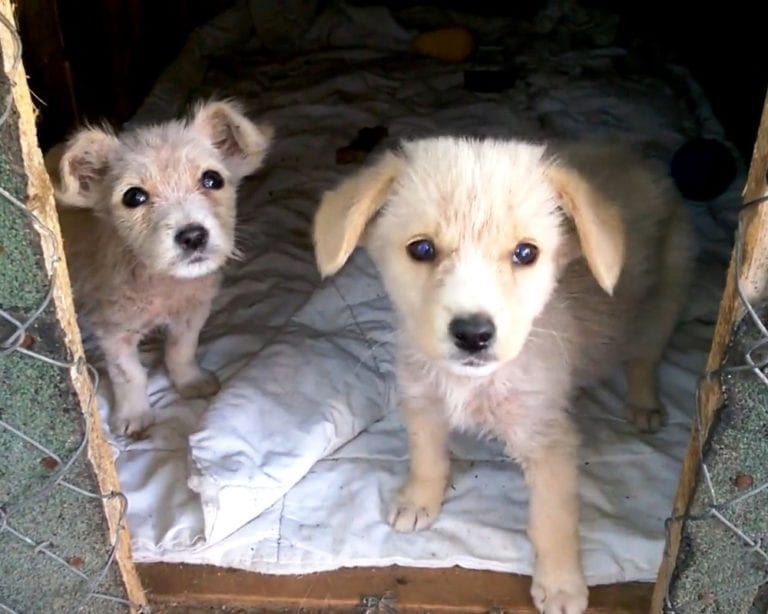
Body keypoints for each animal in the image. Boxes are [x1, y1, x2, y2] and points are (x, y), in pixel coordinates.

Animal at [47, 100, 272, 438]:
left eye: (212, 180)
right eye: (134, 197)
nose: (193, 236)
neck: (162, 283)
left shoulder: (192, 313)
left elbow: (181, 351)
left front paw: (190, 381)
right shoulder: (113, 331)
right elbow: (130, 374)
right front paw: (134, 415)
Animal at [312, 138, 696, 614]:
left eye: (525, 253)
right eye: (421, 250)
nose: (473, 335)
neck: (472, 381)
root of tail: (640, 159)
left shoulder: (549, 443)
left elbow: (552, 521)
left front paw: (561, 585)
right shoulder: (422, 401)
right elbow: (427, 458)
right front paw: (419, 500)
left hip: (668, 295)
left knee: (644, 356)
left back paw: (644, 404)